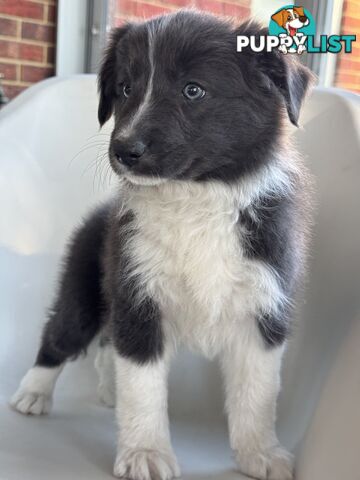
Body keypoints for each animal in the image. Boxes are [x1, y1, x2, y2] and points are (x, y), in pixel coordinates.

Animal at [11, 8, 312, 480]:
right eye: (125, 89)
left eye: (193, 90)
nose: (123, 150)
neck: (194, 198)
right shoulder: (138, 299)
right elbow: (144, 390)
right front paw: (146, 454)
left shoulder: (263, 307)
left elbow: (257, 391)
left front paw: (260, 454)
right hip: (84, 290)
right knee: (60, 334)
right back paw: (33, 393)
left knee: (106, 345)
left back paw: (107, 388)